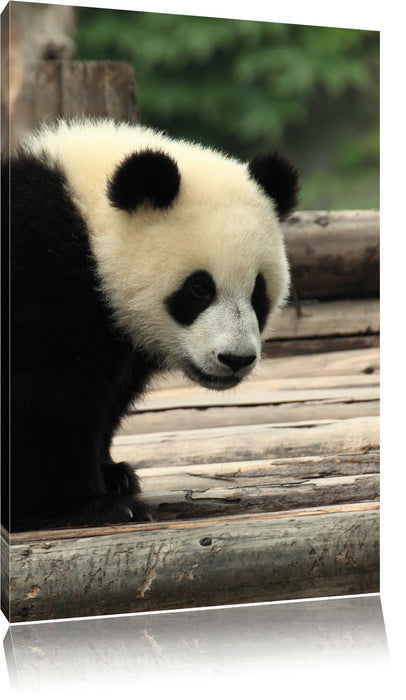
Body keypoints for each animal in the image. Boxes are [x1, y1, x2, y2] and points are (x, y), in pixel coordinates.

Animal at [4, 118, 299, 532]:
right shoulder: (36, 277)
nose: (235, 359)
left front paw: (114, 475)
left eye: (259, 292)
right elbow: (40, 396)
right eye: (198, 289)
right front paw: (81, 507)